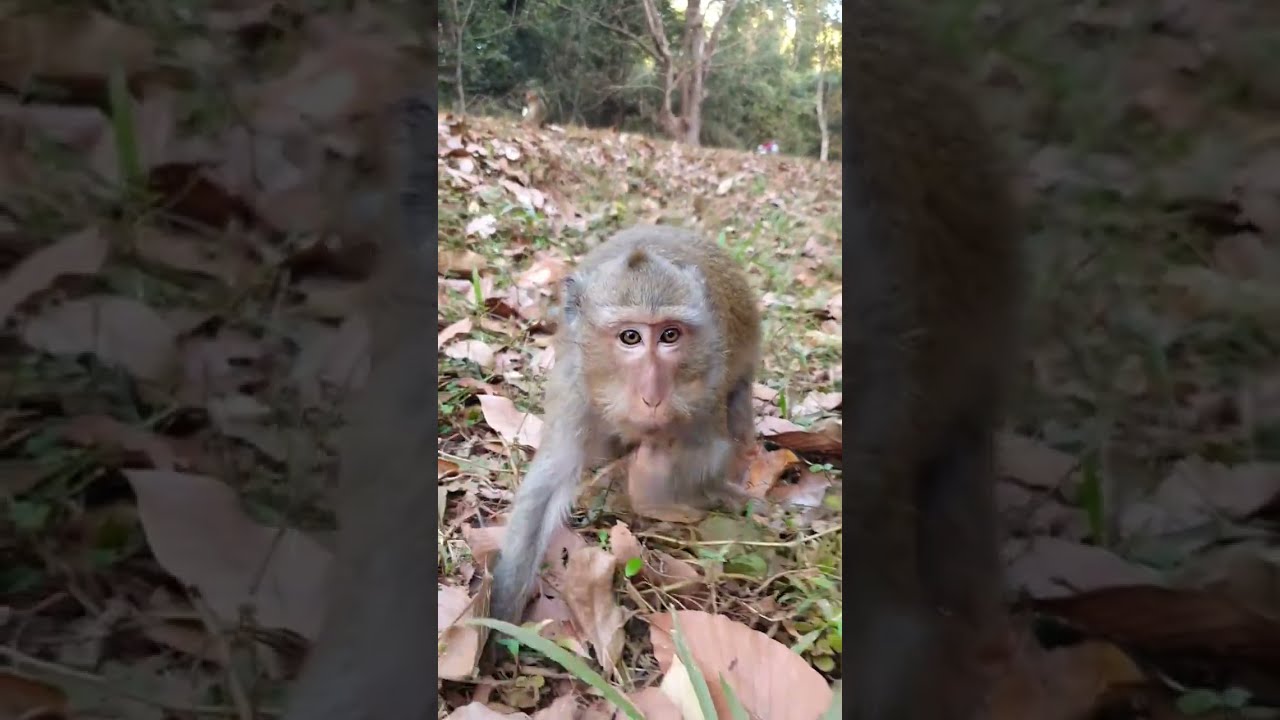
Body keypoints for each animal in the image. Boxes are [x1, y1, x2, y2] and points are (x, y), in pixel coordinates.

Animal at [489, 224, 761, 629]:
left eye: (669, 335)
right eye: (630, 337)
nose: (652, 395)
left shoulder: (709, 384)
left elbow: (709, 451)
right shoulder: (575, 388)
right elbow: (549, 482)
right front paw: (500, 616)